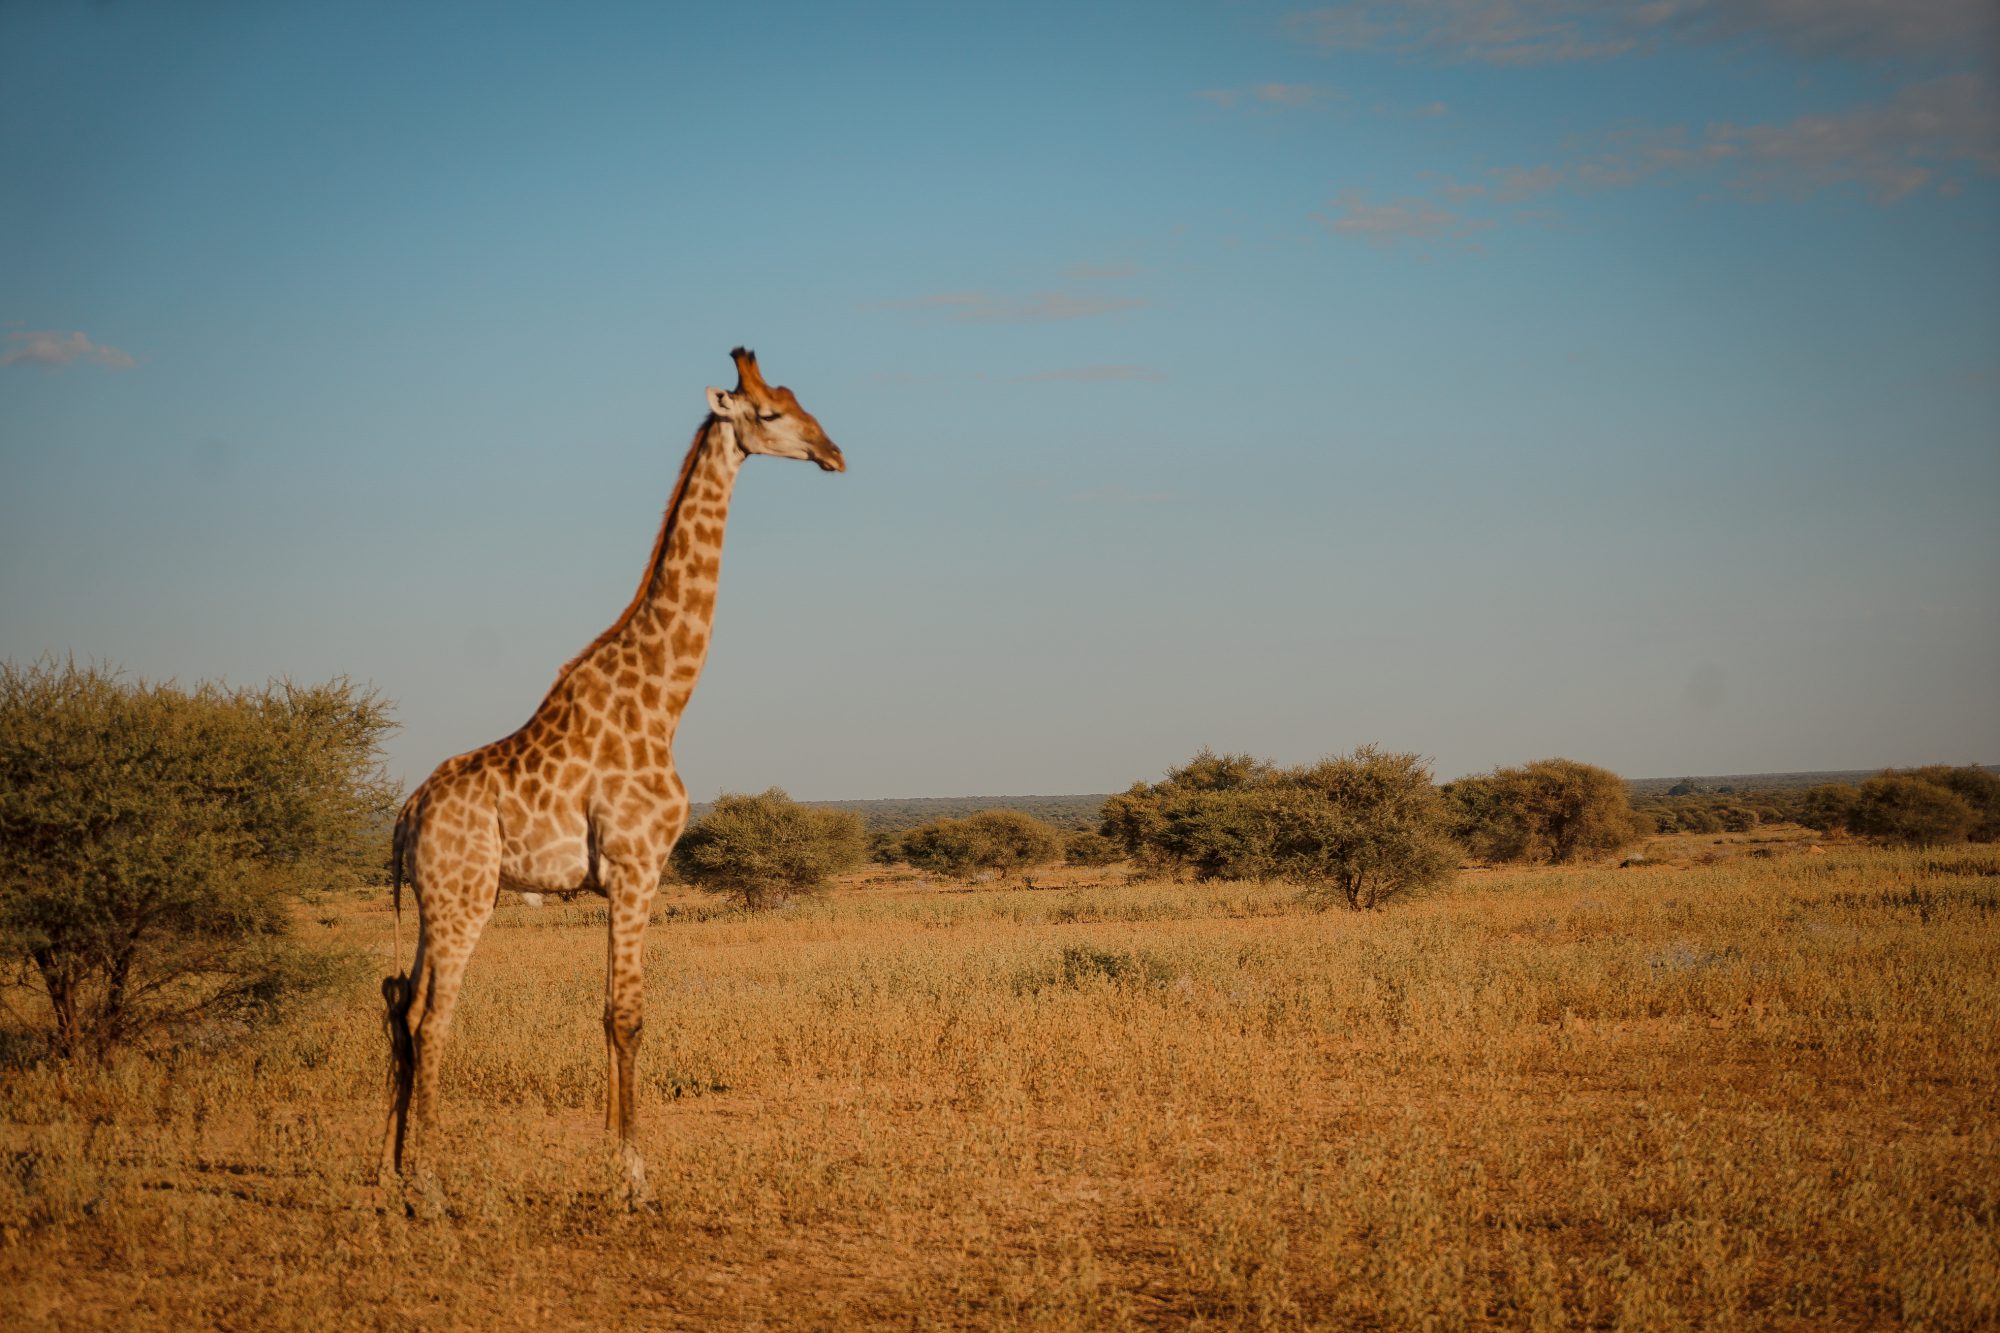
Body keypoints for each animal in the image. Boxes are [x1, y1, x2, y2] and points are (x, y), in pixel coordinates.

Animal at [382, 342, 844, 1200]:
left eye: (800, 399)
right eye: (770, 412)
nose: (834, 453)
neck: (664, 702)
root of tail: (408, 812)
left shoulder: (625, 877)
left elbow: (606, 1013)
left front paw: (610, 1157)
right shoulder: (638, 866)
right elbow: (627, 1014)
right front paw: (635, 1175)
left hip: (440, 898)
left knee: (402, 1003)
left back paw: (392, 1166)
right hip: (465, 895)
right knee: (432, 1017)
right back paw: (427, 1181)